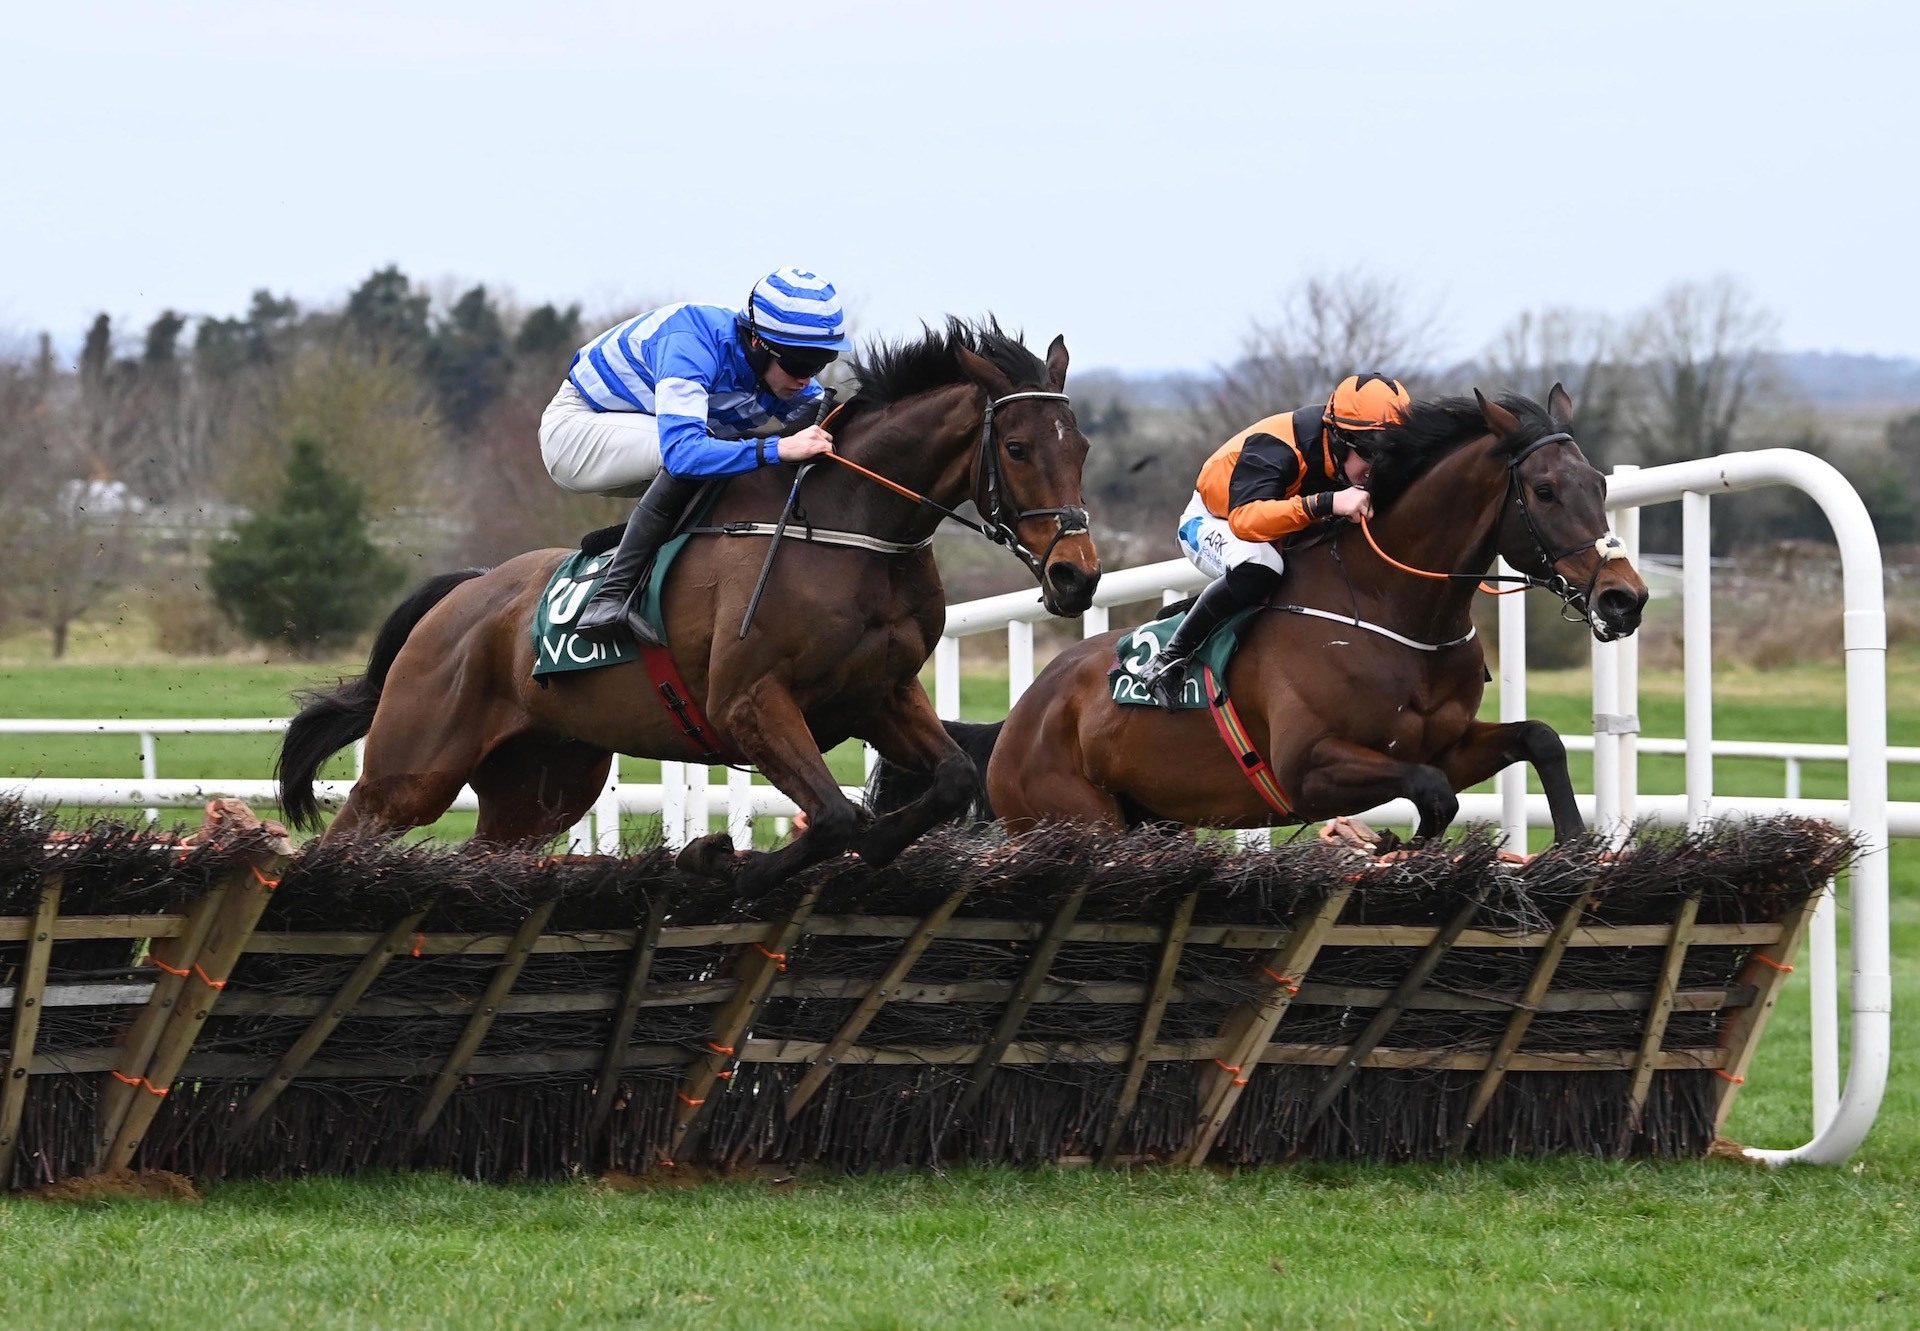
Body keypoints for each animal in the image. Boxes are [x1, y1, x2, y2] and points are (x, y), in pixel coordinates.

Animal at [278, 318, 1105, 891]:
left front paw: (870, 841)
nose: (1077, 576)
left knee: (491, 850)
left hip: (542, 785)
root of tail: (464, 595)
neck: (851, 527)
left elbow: (952, 779)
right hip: (413, 767)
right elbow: (834, 814)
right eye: (1018, 448)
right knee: (348, 832)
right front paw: (724, 862)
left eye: (1082, 447)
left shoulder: (881, 695)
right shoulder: (748, 701)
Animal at [879, 384, 1643, 841]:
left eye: (1600, 484)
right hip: (1077, 822)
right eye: (1544, 490)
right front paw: (1396, 846)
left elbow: (1539, 739)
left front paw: (1576, 843)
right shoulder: (1309, 765)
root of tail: (1016, 720)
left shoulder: (1442, 744)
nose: (1624, 596)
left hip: (1153, 821)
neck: (1394, 608)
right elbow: (1433, 797)